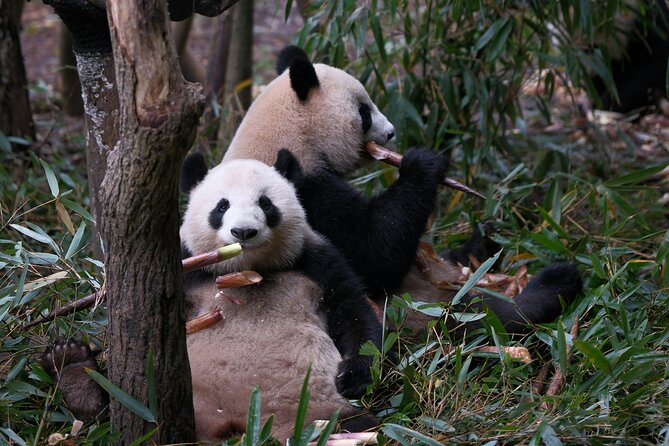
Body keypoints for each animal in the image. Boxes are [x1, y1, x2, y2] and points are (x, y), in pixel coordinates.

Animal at [42, 155, 383, 442]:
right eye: (222, 206)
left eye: (266, 203)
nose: (243, 232)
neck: (246, 271)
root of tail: (238, 425)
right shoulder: (185, 266)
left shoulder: (315, 262)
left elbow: (354, 313)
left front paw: (353, 375)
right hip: (168, 405)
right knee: (116, 413)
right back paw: (73, 369)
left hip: (319, 412)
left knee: (360, 426)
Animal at [220, 45, 583, 336]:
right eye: (364, 112)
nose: (392, 132)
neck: (289, 135)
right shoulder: (302, 195)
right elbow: (373, 257)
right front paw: (423, 163)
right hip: (421, 309)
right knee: (483, 316)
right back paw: (555, 283)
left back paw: (490, 239)